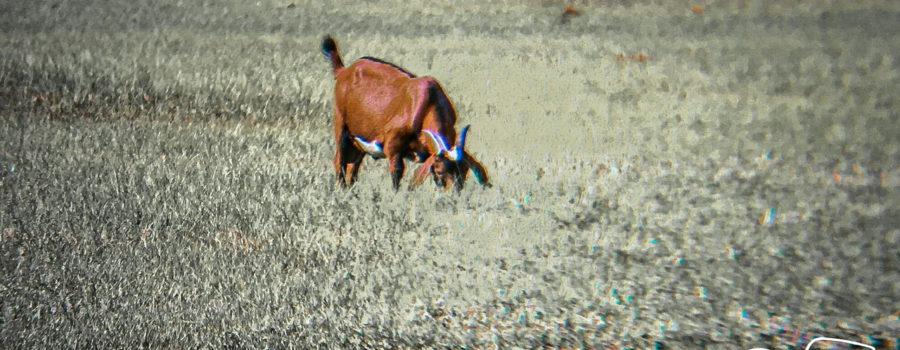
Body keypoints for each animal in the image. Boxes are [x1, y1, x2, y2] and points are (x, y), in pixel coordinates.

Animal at [322, 36, 492, 190]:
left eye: (464, 171)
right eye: (439, 171)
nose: (453, 195)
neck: (428, 103)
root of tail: (345, 71)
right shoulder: (392, 147)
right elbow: (396, 174)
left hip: (358, 141)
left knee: (353, 165)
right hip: (341, 126)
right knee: (339, 160)